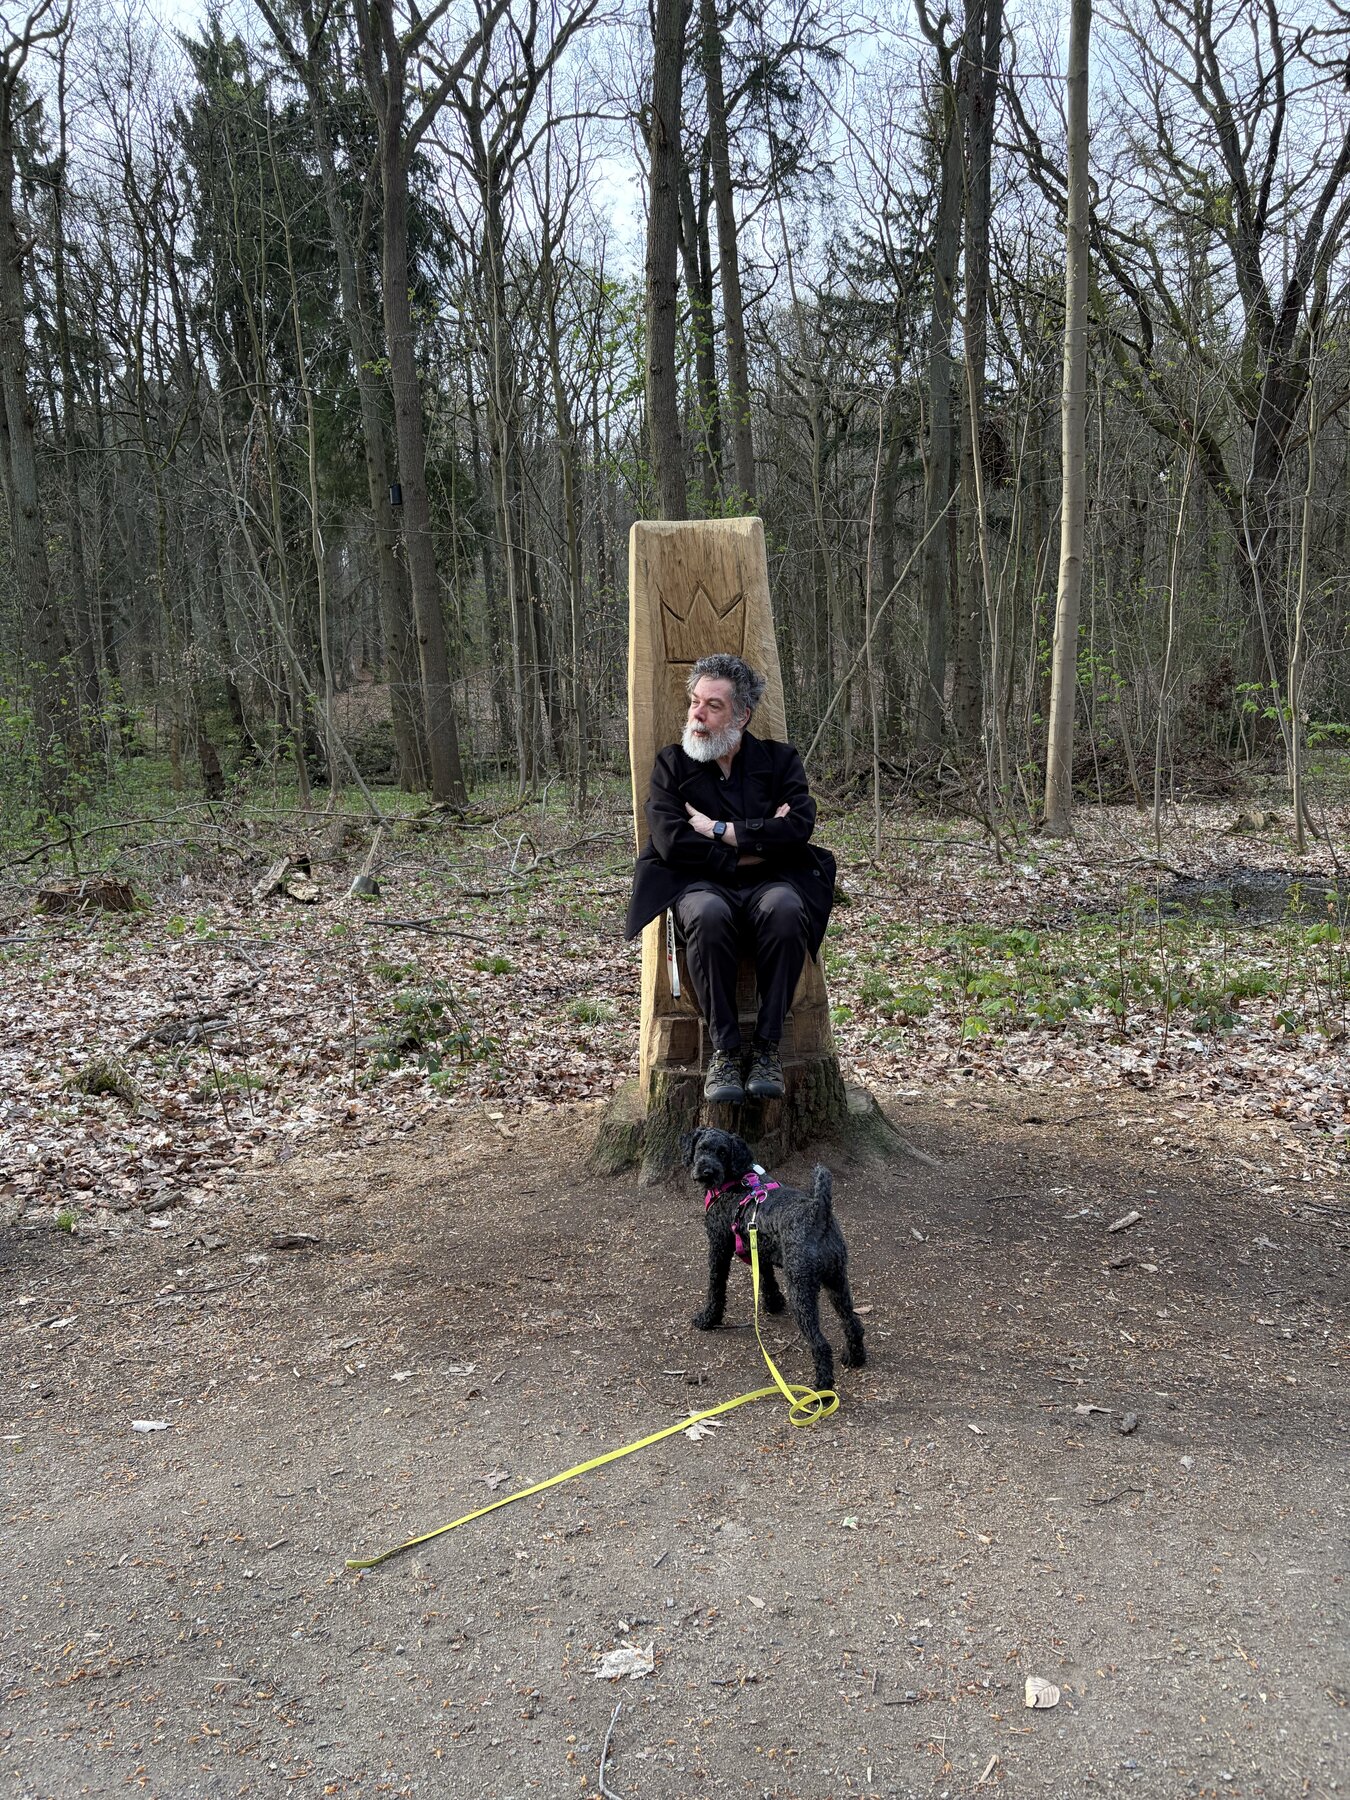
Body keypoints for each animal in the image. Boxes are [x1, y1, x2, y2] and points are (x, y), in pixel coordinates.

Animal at [680, 1126, 866, 1391]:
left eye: (723, 1152)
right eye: (702, 1148)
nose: (707, 1171)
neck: (735, 1181)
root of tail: (819, 1211)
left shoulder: (718, 1248)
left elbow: (716, 1287)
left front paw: (708, 1318)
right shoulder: (760, 1248)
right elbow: (767, 1278)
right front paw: (774, 1303)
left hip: (802, 1290)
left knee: (820, 1343)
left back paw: (822, 1384)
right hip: (837, 1282)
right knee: (853, 1323)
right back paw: (855, 1357)